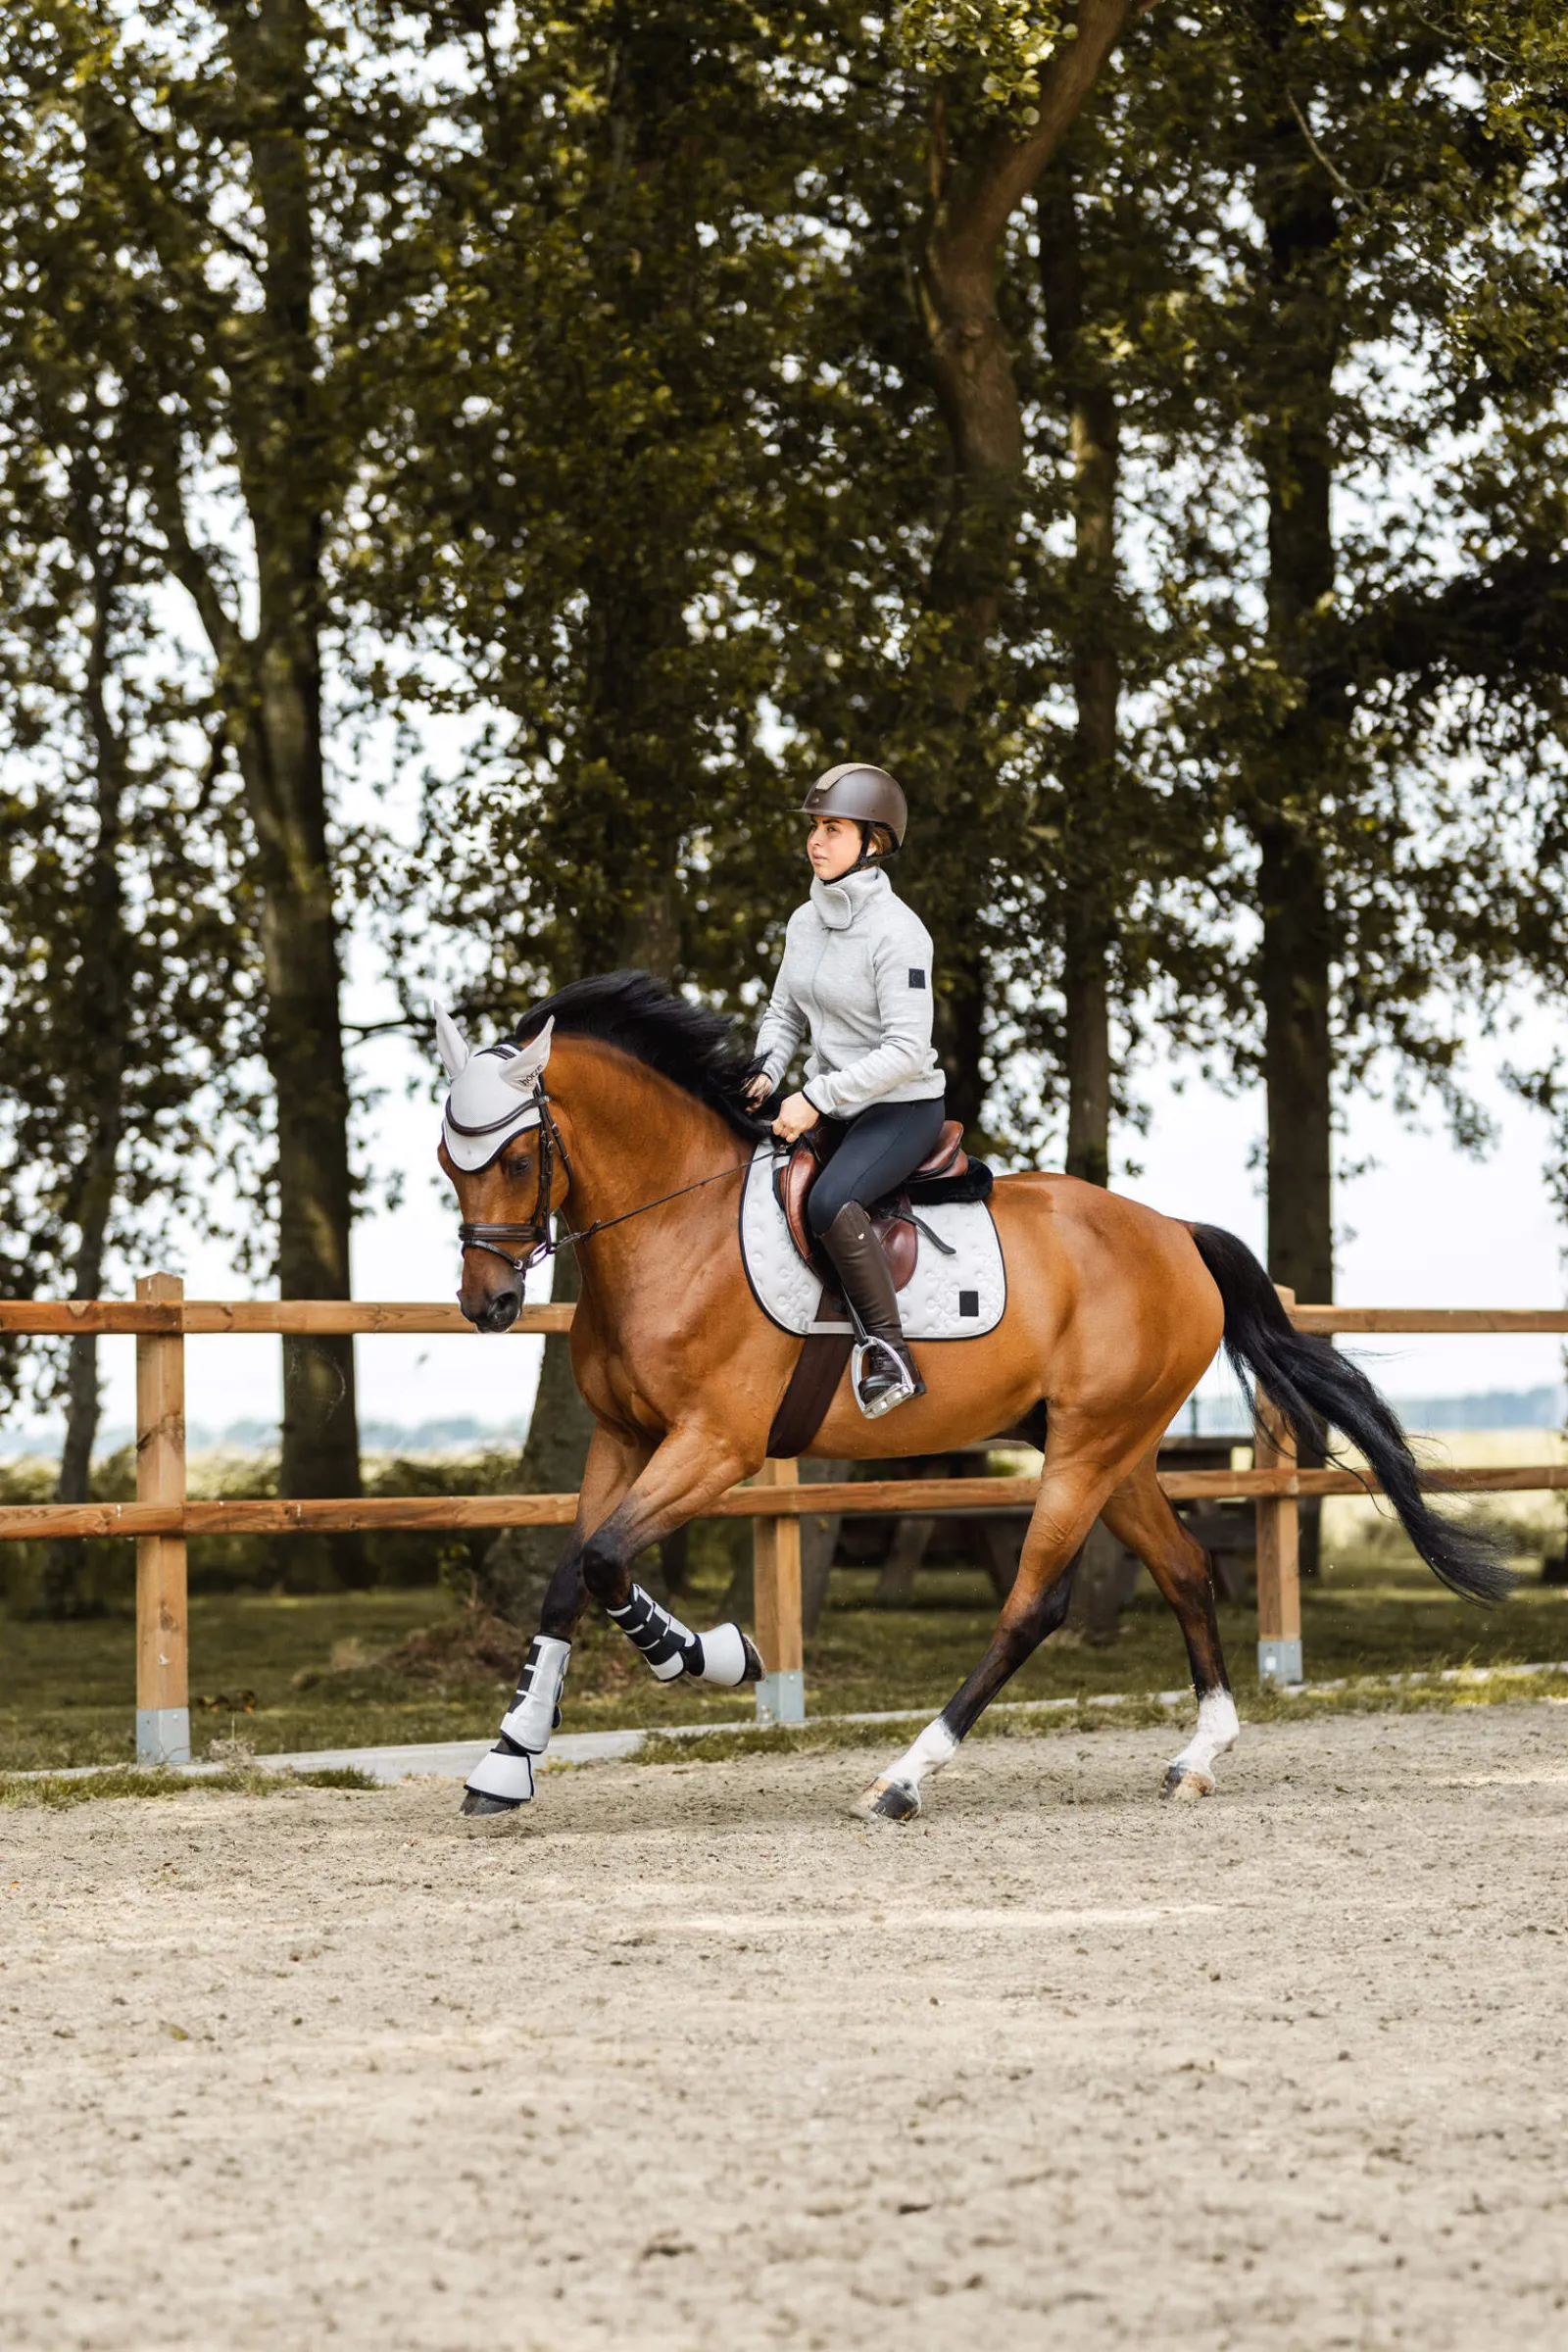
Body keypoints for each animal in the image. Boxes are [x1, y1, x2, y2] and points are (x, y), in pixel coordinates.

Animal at [437, 971, 1510, 1822]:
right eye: (452, 1162)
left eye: (518, 1158)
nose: (487, 1306)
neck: (676, 1228)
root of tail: (1174, 1232)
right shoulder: (620, 1439)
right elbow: (572, 1574)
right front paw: (509, 1759)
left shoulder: (713, 1447)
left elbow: (607, 1564)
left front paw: (715, 1657)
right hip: (1113, 1448)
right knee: (1186, 1570)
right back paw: (1198, 1757)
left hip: (1087, 1447)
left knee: (1033, 1605)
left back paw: (903, 1778)